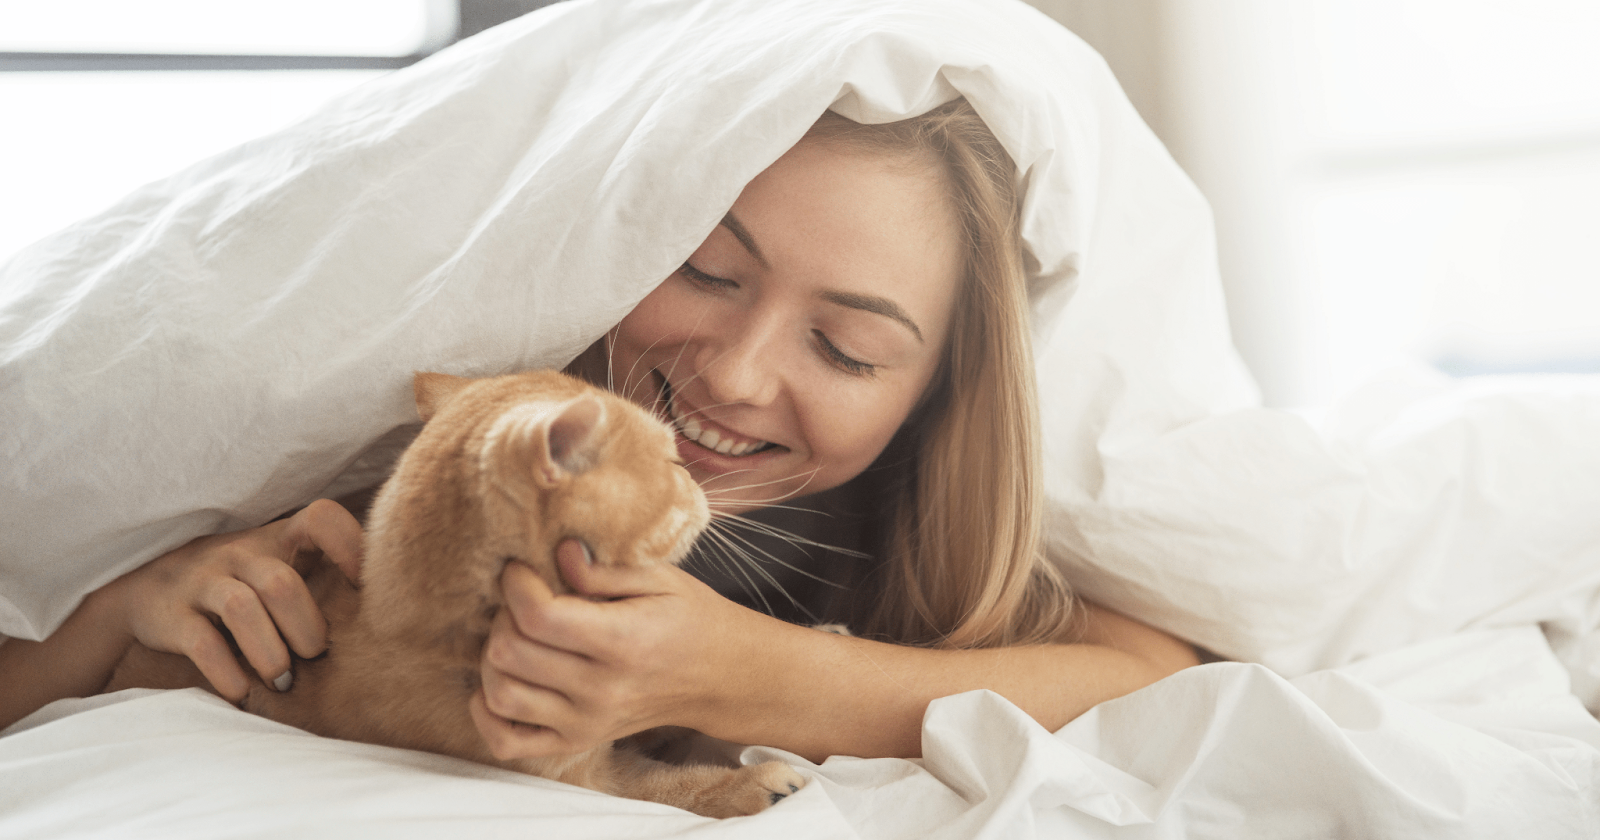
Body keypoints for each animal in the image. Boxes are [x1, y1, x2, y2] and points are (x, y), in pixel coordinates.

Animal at [111, 369, 806, 816]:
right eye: (671, 463)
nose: (696, 479)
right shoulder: (591, 780)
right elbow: (675, 788)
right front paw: (754, 784)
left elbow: (683, 712)